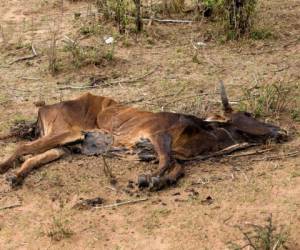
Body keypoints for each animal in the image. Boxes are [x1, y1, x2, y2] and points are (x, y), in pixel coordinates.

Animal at [0, 82, 286, 189]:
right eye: (247, 113)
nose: (281, 130)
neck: (206, 133)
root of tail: (46, 107)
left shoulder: (175, 154)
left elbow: (177, 169)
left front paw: (158, 181)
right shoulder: (158, 136)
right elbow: (166, 162)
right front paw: (147, 179)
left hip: (66, 145)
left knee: (32, 157)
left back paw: (17, 177)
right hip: (67, 132)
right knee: (22, 148)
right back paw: (6, 169)